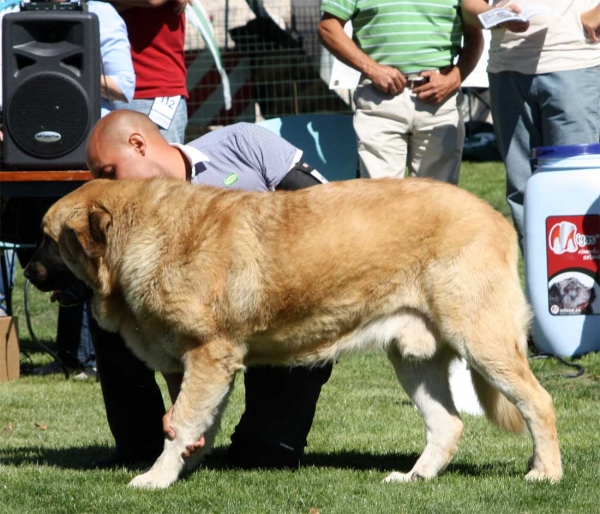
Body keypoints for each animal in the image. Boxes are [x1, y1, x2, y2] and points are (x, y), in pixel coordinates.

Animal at [24, 177, 564, 488]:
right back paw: (413, 478)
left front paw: (157, 478)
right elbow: (191, 423)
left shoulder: (209, 355)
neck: (147, 235)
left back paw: (545, 473)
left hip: (483, 341)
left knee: (538, 402)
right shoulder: (203, 364)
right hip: (414, 359)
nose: (27, 270)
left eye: (48, 240)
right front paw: (186, 467)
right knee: (448, 425)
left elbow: (183, 424)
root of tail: (497, 217)